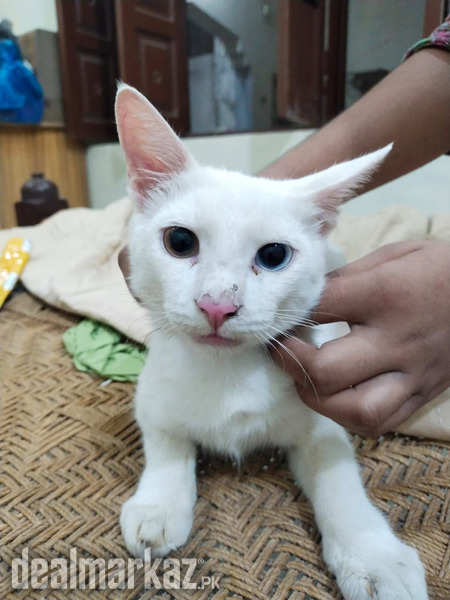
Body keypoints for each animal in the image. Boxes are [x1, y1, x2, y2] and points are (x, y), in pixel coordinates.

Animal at [114, 85, 428, 600]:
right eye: (180, 241)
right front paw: (158, 504)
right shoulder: (152, 392)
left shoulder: (323, 421)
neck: (226, 373)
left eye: (274, 255)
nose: (218, 305)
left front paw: (373, 555)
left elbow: (338, 478)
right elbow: (166, 441)